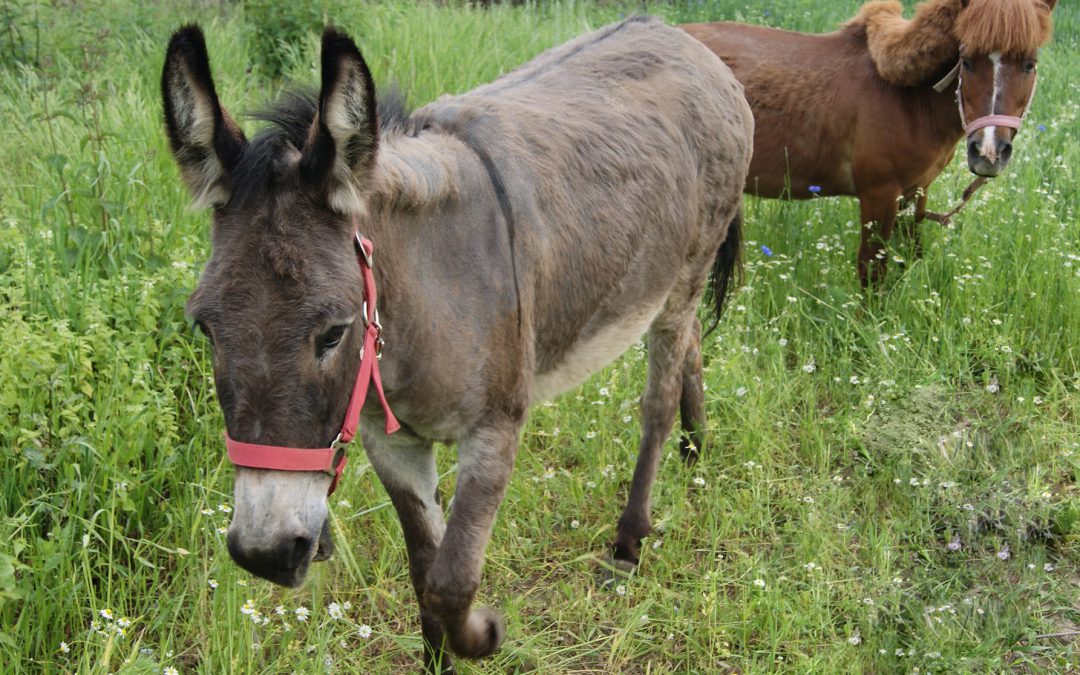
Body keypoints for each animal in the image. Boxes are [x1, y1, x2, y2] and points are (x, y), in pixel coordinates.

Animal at [162, 18, 751, 669]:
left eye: (334, 333)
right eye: (205, 327)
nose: (265, 554)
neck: (422, 296)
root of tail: (674, 34)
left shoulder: (495, 431)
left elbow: (451, 581)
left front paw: (485, 634)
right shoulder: (391, 444)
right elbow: (425, 576)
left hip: (684, 275)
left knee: (658, 399)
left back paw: (629, 540)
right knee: (692, 344)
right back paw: (696, 450)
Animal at [682, 0, 1054, 285]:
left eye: (1029, 64)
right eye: (967, 62)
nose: (989, 153)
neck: (906, 96)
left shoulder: (915, 192)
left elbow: (911, 256)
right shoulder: (879, 196)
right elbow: (872, 273)